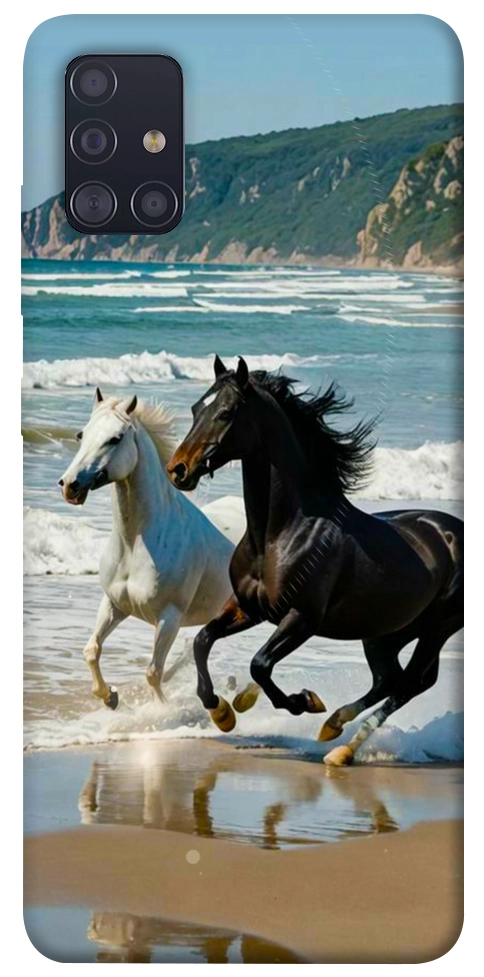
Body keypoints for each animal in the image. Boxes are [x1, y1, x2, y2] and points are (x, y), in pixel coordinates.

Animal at [59, 388, 234, 709]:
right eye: (81, 434)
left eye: (115, 438)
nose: (70, 485)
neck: (135, 544)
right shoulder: (114, 604)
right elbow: (91, 650)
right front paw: (110, 697)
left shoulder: (169, 618)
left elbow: (153, 672)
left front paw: (161, 711)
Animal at [166, 356, 463, 765]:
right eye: (197, 408)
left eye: (225, 412)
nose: (177, 469)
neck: (280, 534)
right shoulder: (248, 608)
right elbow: (202, 640)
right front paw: (223, 711)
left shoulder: (302, 618)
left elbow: (260, 664)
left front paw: (302, 701)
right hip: (386, 632)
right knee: (390, 679)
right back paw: (334, 728)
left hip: (437, 628)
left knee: (410, 683)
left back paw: (341, 746)